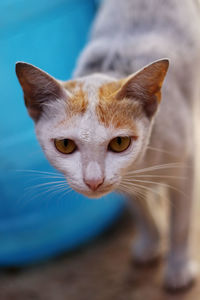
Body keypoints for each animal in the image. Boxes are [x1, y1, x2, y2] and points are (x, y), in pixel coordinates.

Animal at [15, 0, 200, 292]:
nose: (93, 180)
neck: (144, 164)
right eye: (65, 145)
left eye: (120, 143)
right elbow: (141, 210)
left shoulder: (186, 166)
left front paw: (178, 268)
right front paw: (151, 241)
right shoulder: (121, 181)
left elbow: (180, 224)